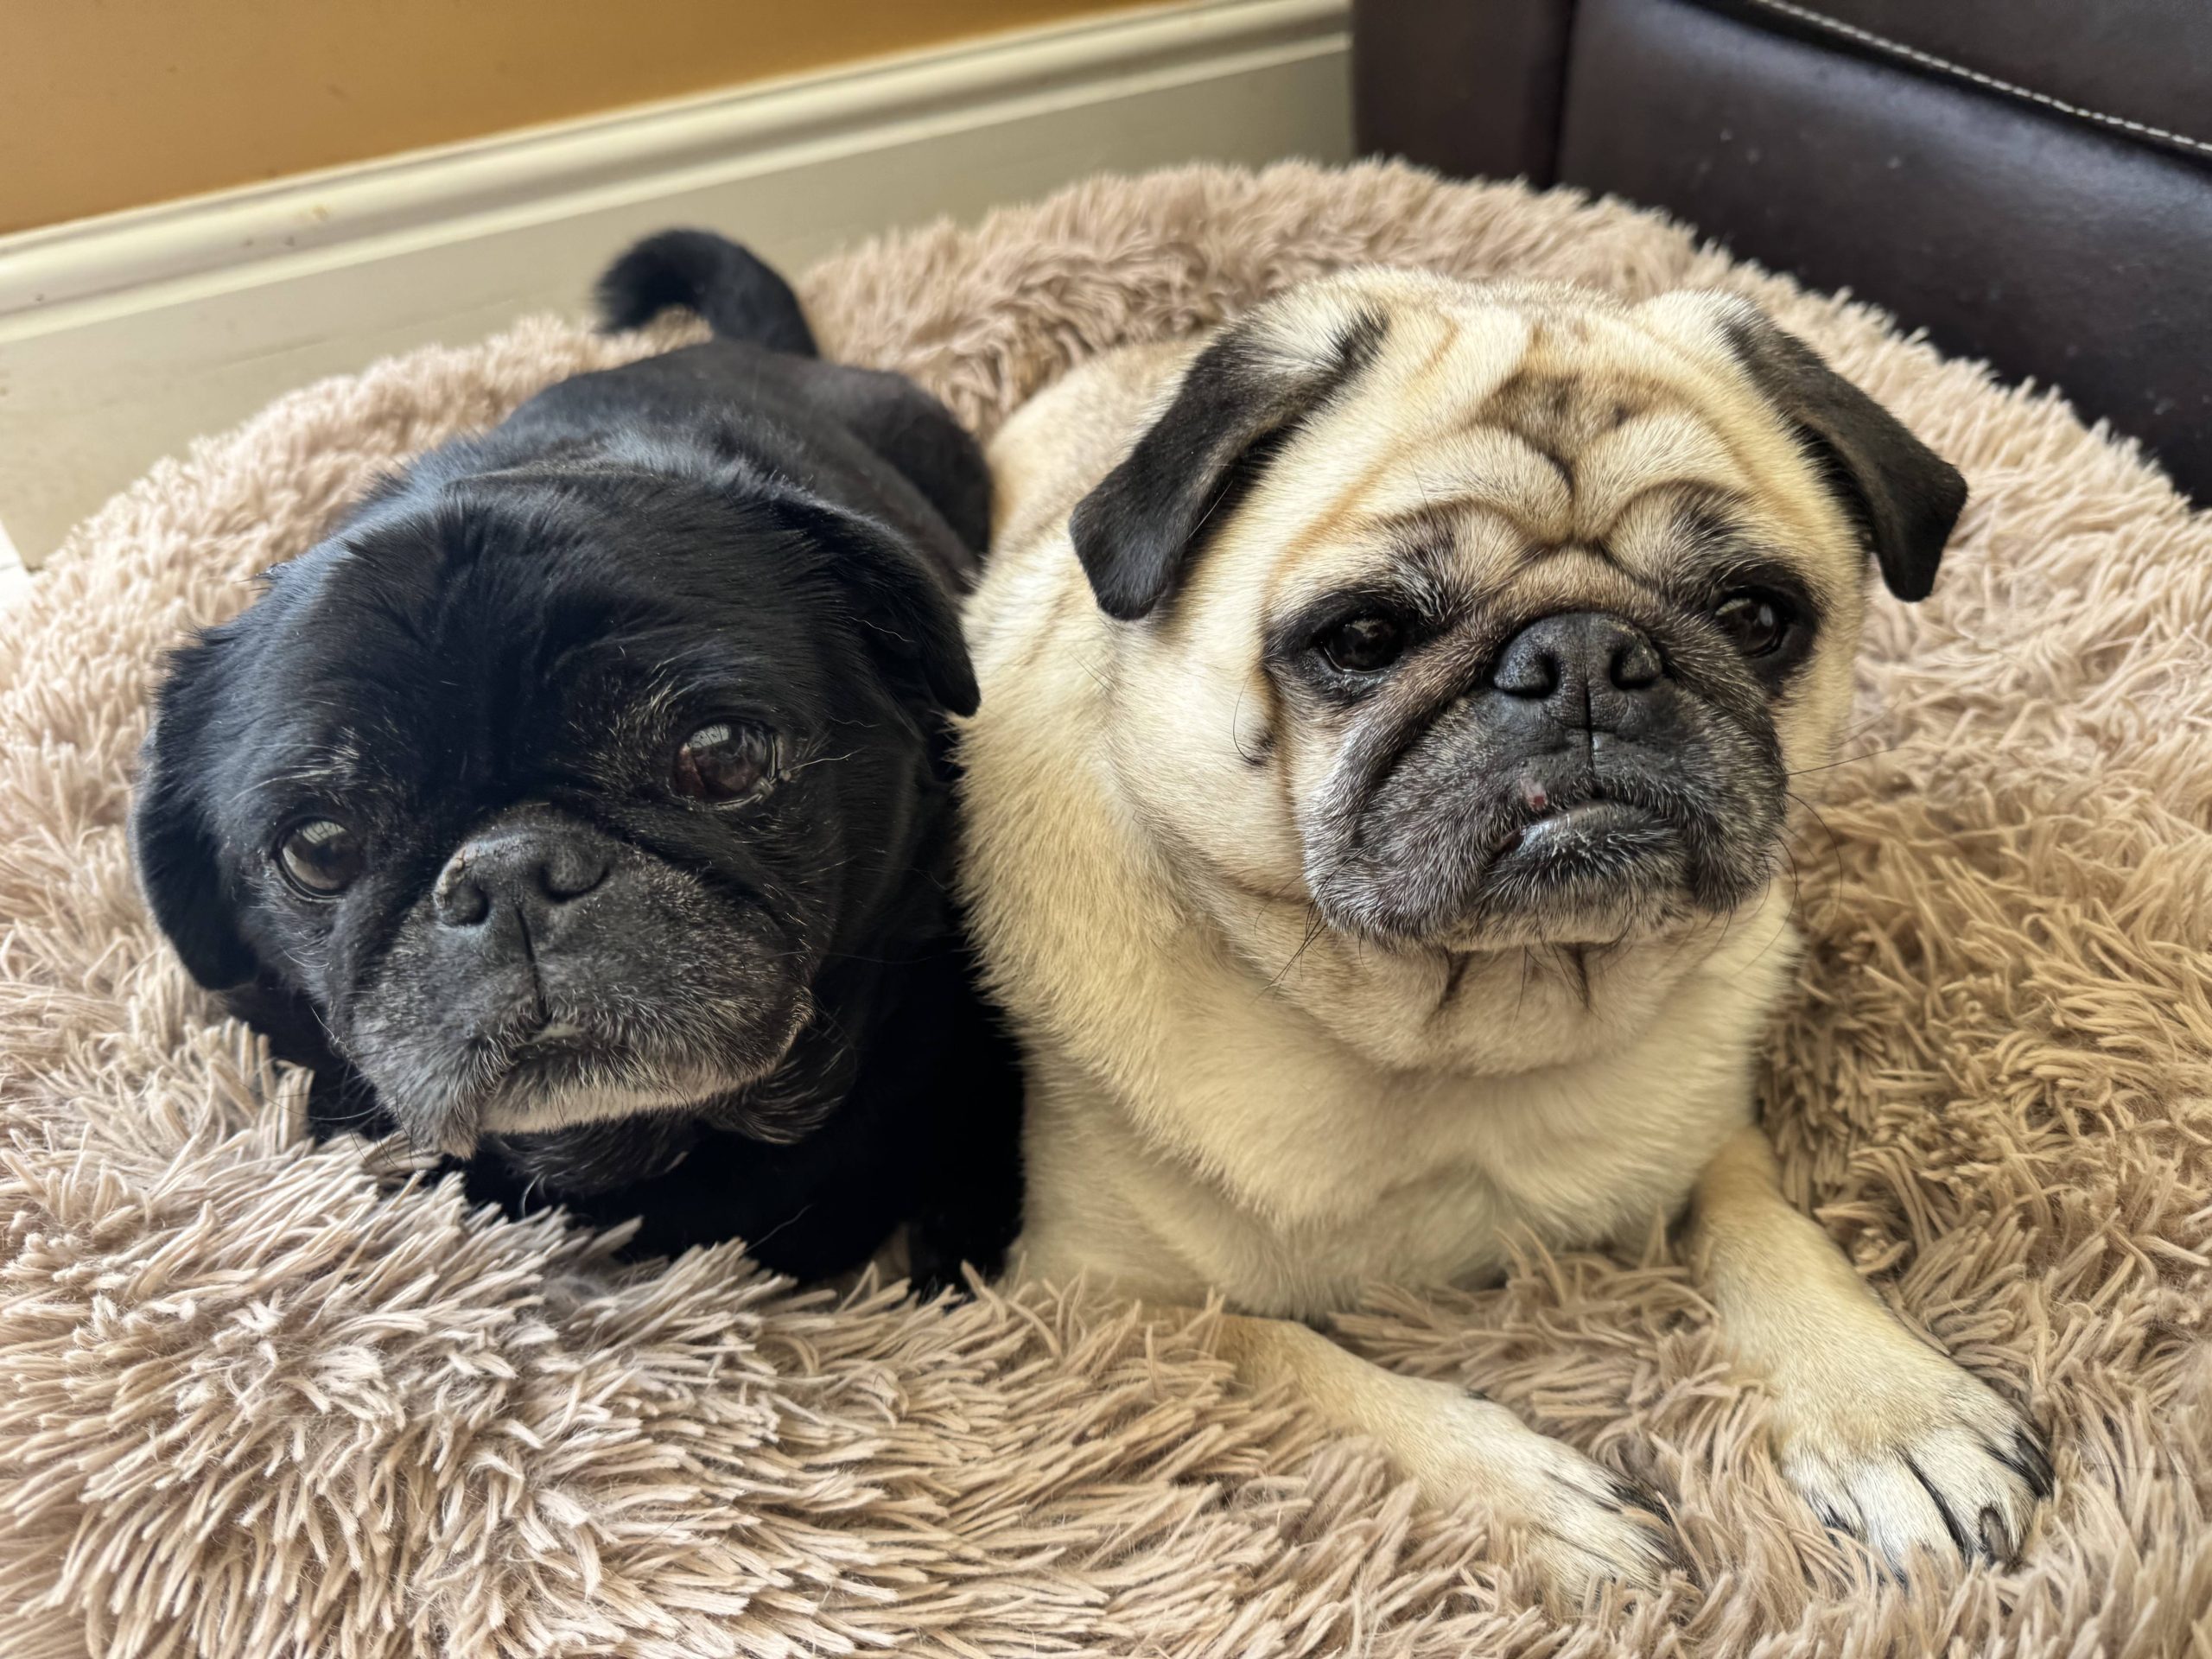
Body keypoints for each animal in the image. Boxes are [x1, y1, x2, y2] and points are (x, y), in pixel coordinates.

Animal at [959, 269, 2051, 1597]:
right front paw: (1529, 1499)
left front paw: (1890, 1408)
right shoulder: (1078, 1305)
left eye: (1756, 617)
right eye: (1365, 638)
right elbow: (1277, 1354)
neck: (1465, 1031)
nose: (1584, 654)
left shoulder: (1712, 1139)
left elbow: (1769, 1227)